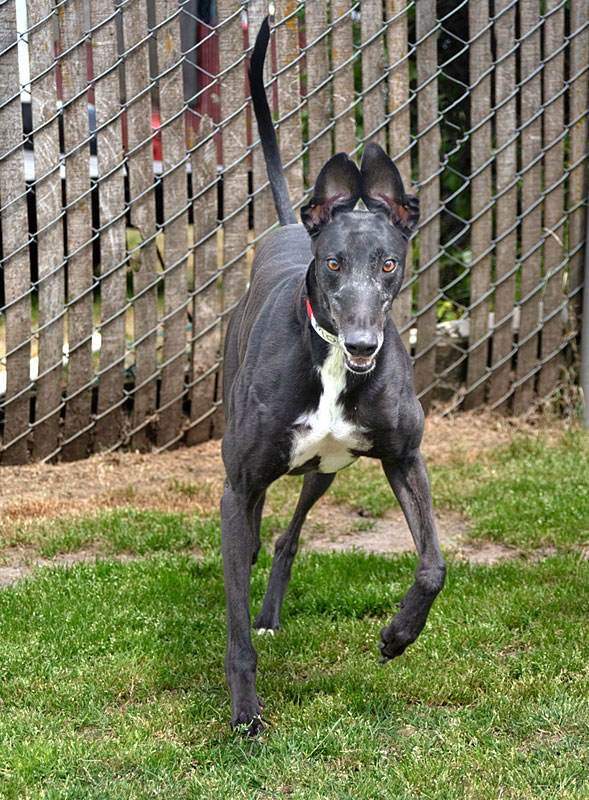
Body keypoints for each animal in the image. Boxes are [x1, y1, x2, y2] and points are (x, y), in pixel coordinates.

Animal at [220, 18, 446, 736]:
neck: (328, 365)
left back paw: (271, 611)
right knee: (256, 540)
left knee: (287, 536)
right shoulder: (237, 487)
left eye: (388, 264)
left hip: (325, 468)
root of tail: (291, 222)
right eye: (333, 265)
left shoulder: (403, 458)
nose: (363, 344)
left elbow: (433, 565)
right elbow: (233, 625)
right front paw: (245, 714)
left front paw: (397, 636)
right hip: (259, 473)